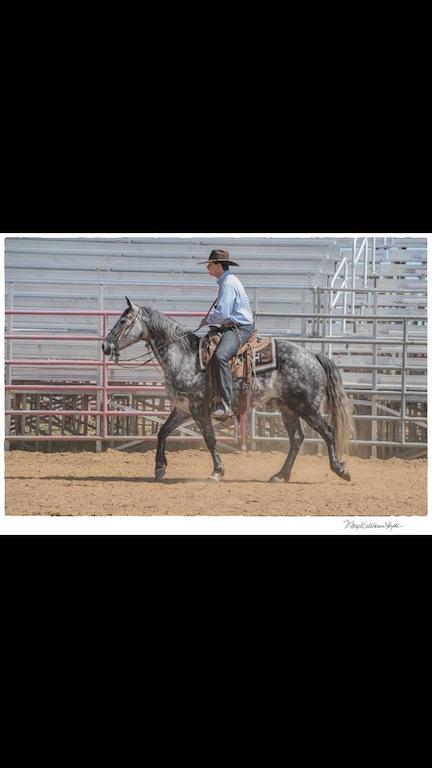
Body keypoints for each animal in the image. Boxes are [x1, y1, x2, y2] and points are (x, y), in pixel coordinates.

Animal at [102, 296, 354, 484]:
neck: (184, 356)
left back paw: (340, 470)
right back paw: (280, 475)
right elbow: (162, 431)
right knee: (297, 439)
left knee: (328, 431)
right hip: (288, 408)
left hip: (306, 406)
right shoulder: (182, 409)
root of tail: (313, 356)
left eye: (123, 320)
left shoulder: (199, 409)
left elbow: (210, 439)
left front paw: (217, 472)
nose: (105, 345)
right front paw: (159, 468)